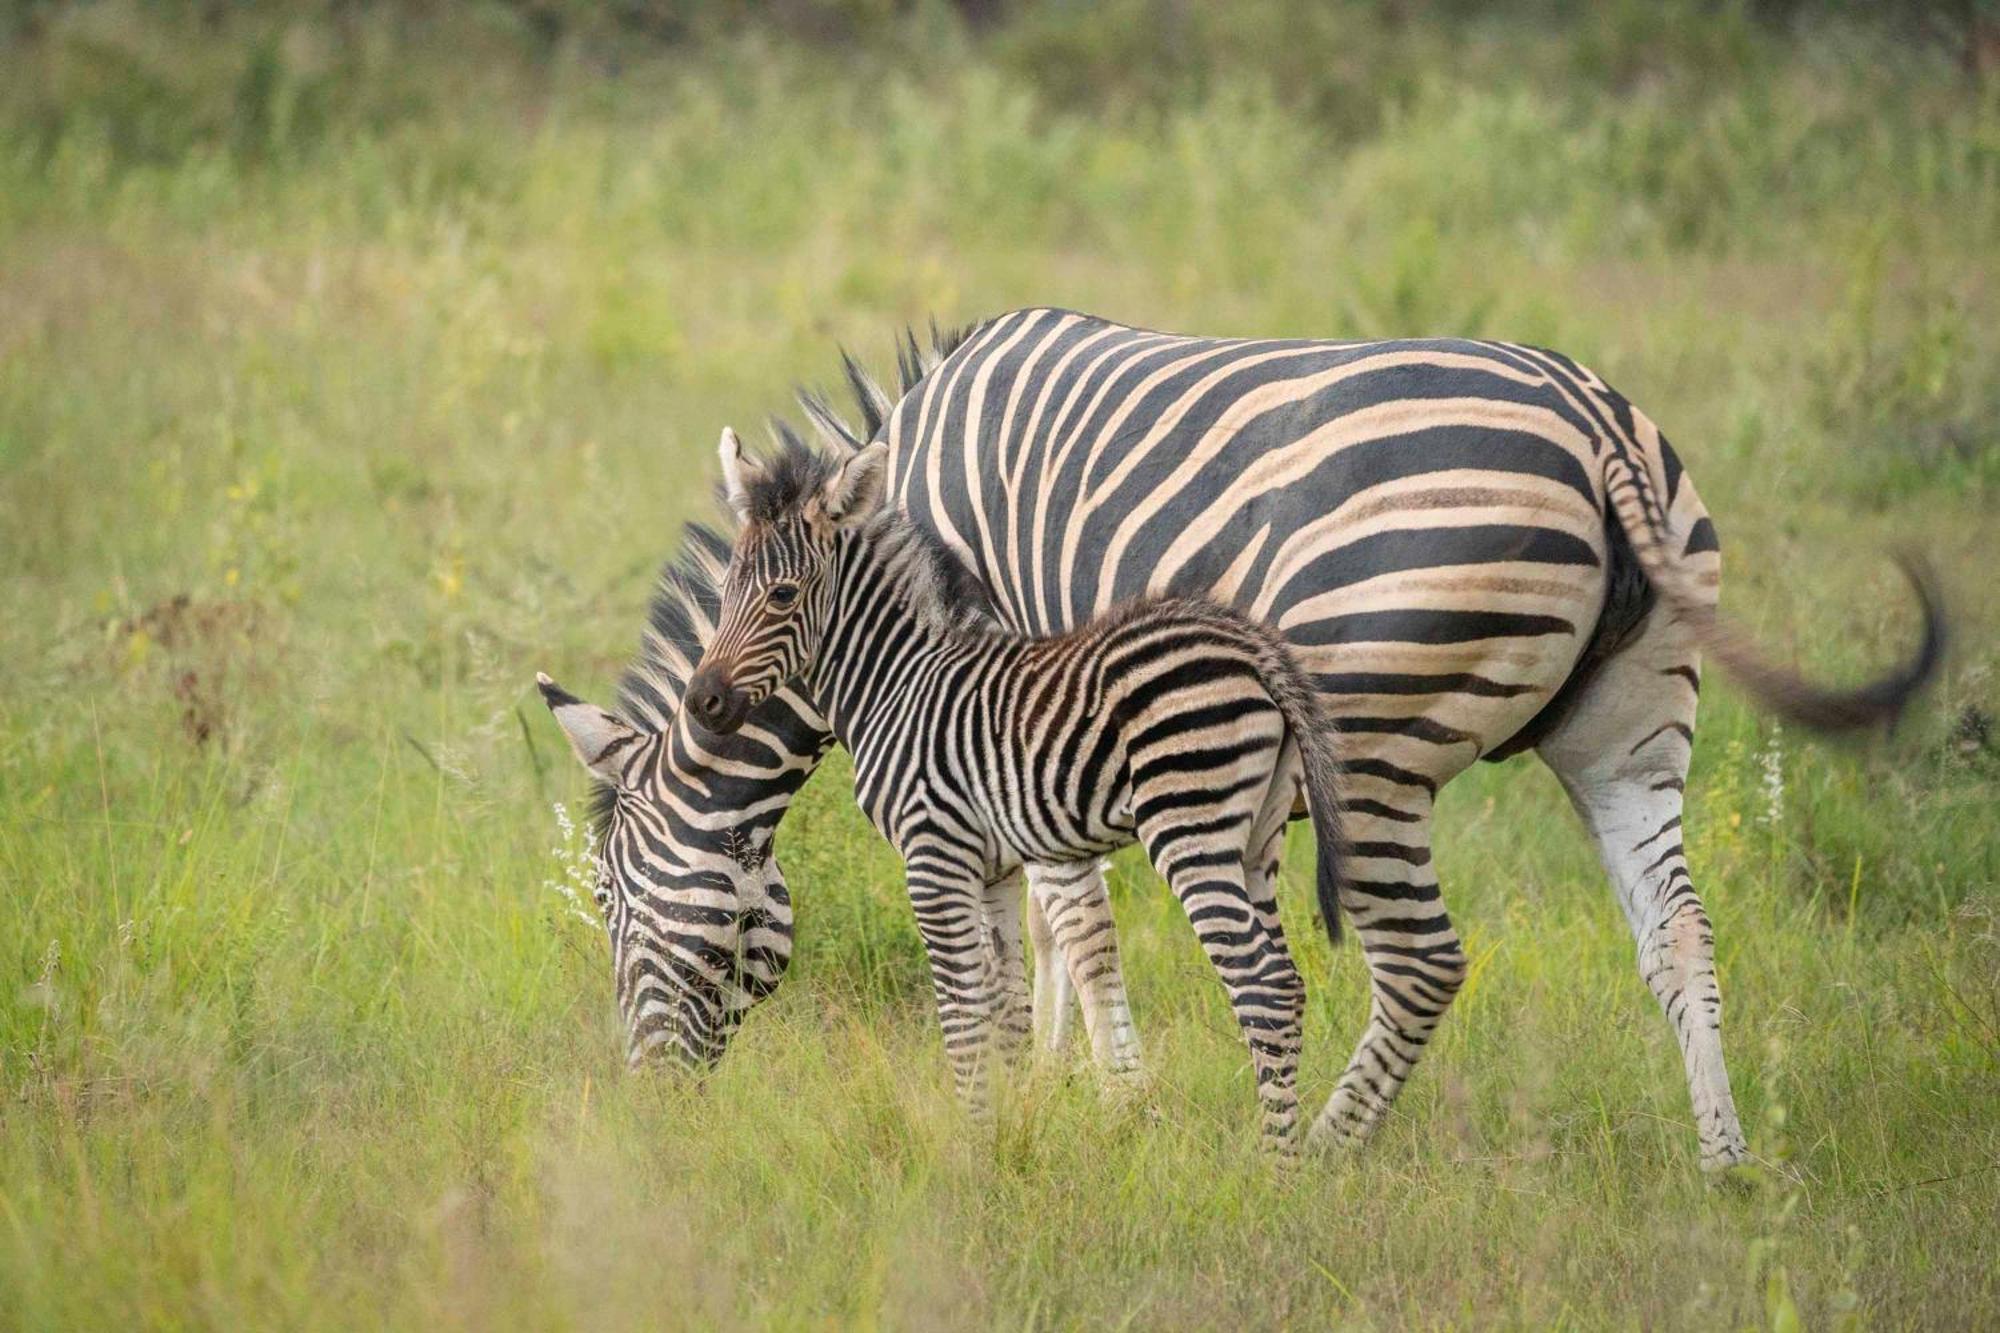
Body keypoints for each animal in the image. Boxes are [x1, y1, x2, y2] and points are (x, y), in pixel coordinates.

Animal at [684, 428, 1344, 1144]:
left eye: (782, 596)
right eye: (723, 591)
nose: (702, 702)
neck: (896, 681)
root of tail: (1253, 647)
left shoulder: (932, 857)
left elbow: (962, 1013)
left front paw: (972, 1144)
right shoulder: (994, 870)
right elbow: (1004, 1011)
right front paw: (1008, 1135)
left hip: (1189, 827)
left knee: (1261, 984)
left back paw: (1275, 1158)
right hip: (1257, 841)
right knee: (1287, 983)